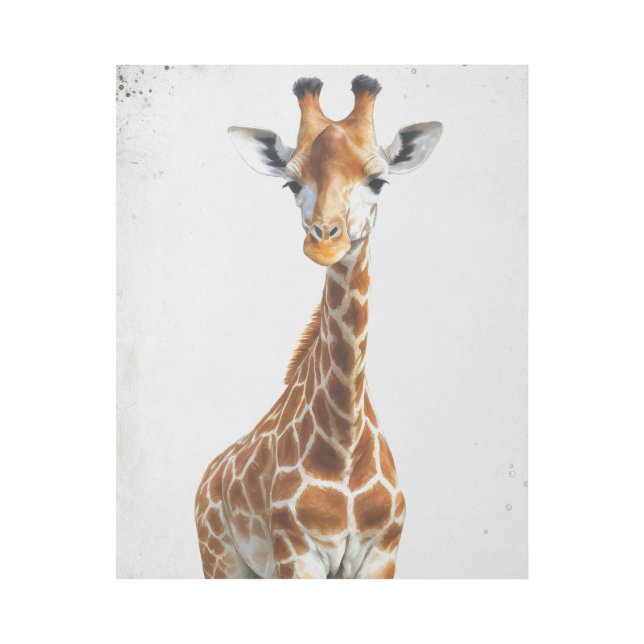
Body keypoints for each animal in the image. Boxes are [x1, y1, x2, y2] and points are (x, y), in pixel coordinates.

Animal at [194, 75, 442, 578]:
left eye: (378, 181)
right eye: (292, 183)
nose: (325, 242)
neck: (344, 447)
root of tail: (207, 477)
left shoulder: (382, 552)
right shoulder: (298, 551)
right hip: (221, 560)